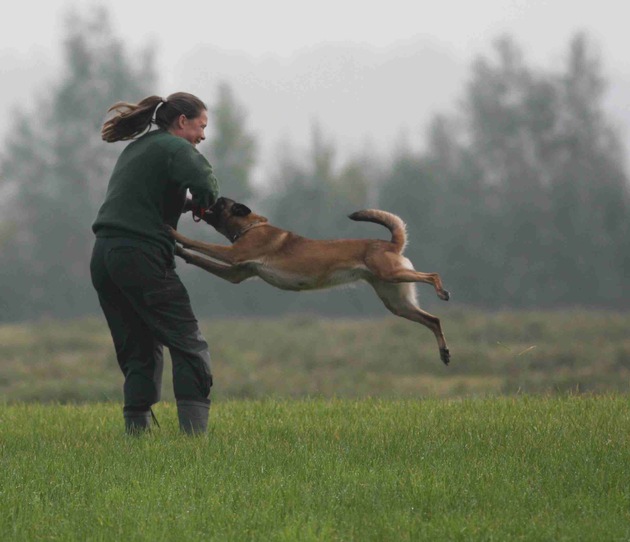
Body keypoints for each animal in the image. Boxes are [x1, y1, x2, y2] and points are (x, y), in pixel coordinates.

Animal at [170, 197, 452, 366]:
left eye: (219, 202)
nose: (195, 200)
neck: (251, 227)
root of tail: (392, 243)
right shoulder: (235, 274)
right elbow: (198, 257)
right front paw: (179, 252)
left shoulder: (233, 254)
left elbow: (200, 244)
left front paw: (175, 234)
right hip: (396, 303)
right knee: (433, 320)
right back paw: (444, 353)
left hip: (391, 275)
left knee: (432, 275)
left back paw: (442, 292)